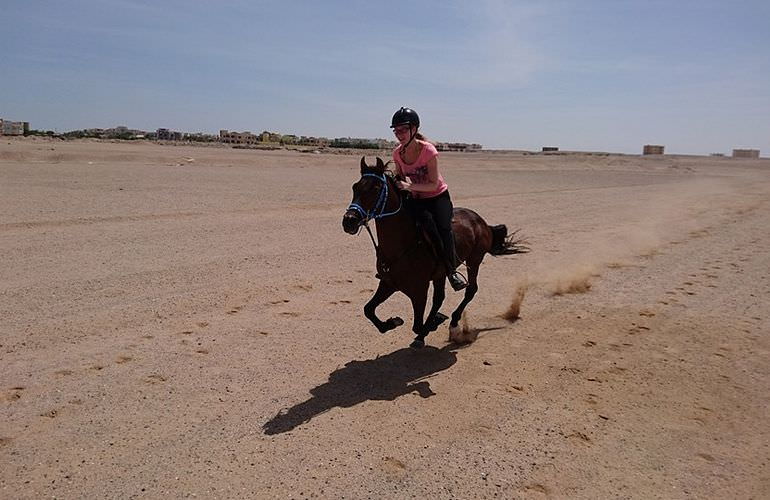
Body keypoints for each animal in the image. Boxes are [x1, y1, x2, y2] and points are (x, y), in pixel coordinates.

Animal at [342, 156, 528, 348]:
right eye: (355, 187)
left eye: (376, 188)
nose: (349, 221)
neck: (401, 245)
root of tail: (482, 222)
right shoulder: (388, 283)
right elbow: (368, 310)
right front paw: (392, 322)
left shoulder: (419, 289)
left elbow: (417, 325)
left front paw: (431, 324)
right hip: (441, 273)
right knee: (440, 297)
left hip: (474, 259)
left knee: (471, 289)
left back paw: (453, 322)